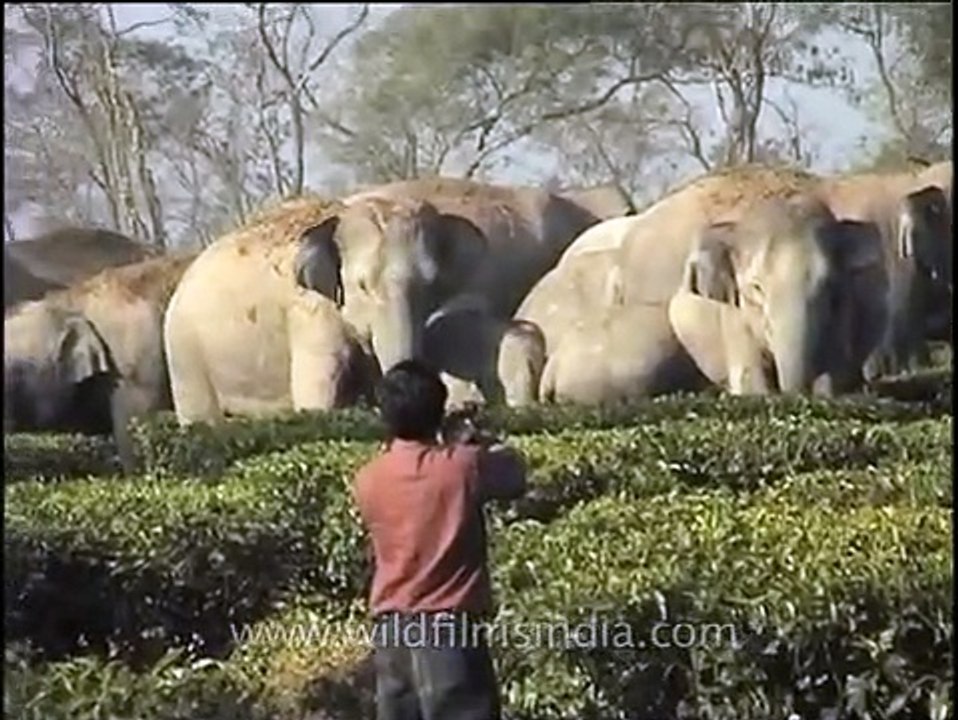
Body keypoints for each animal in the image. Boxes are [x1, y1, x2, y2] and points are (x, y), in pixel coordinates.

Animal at [666, 196, 889, 396]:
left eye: (829, 283)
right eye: (756, 287)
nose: (796, 394)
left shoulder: (845, 307)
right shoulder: (733, 314)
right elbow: (750, 381)